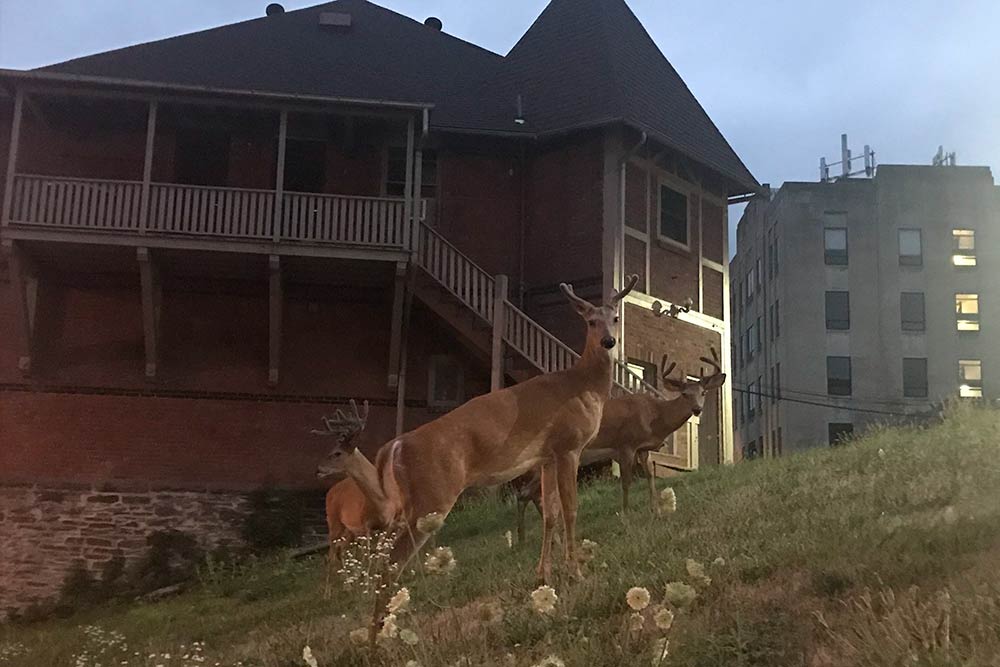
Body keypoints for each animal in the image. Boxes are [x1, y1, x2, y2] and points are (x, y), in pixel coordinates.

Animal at [312, 272, 640, 584]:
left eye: (616, 318)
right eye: (591, 321)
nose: (609, 342)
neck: (583, 385)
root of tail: (393, 447)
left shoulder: (547, 457)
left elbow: (550, 515)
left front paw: (543, 574)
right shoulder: (568, 445)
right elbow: (571, 510)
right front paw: (576, 573)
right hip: (432, 495)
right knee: (390, 560)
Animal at [512, 348, 724, 540]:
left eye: (703, 392)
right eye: (685, 393)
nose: (697, 409)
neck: (655, 416)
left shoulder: (643, 448)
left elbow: (650, 476)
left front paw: (656, 512)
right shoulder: (626, 444)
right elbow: (626, 482)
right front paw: (625, 515)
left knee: (530, 494)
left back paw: (536, 539)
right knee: (526, 493)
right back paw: (535, 538)